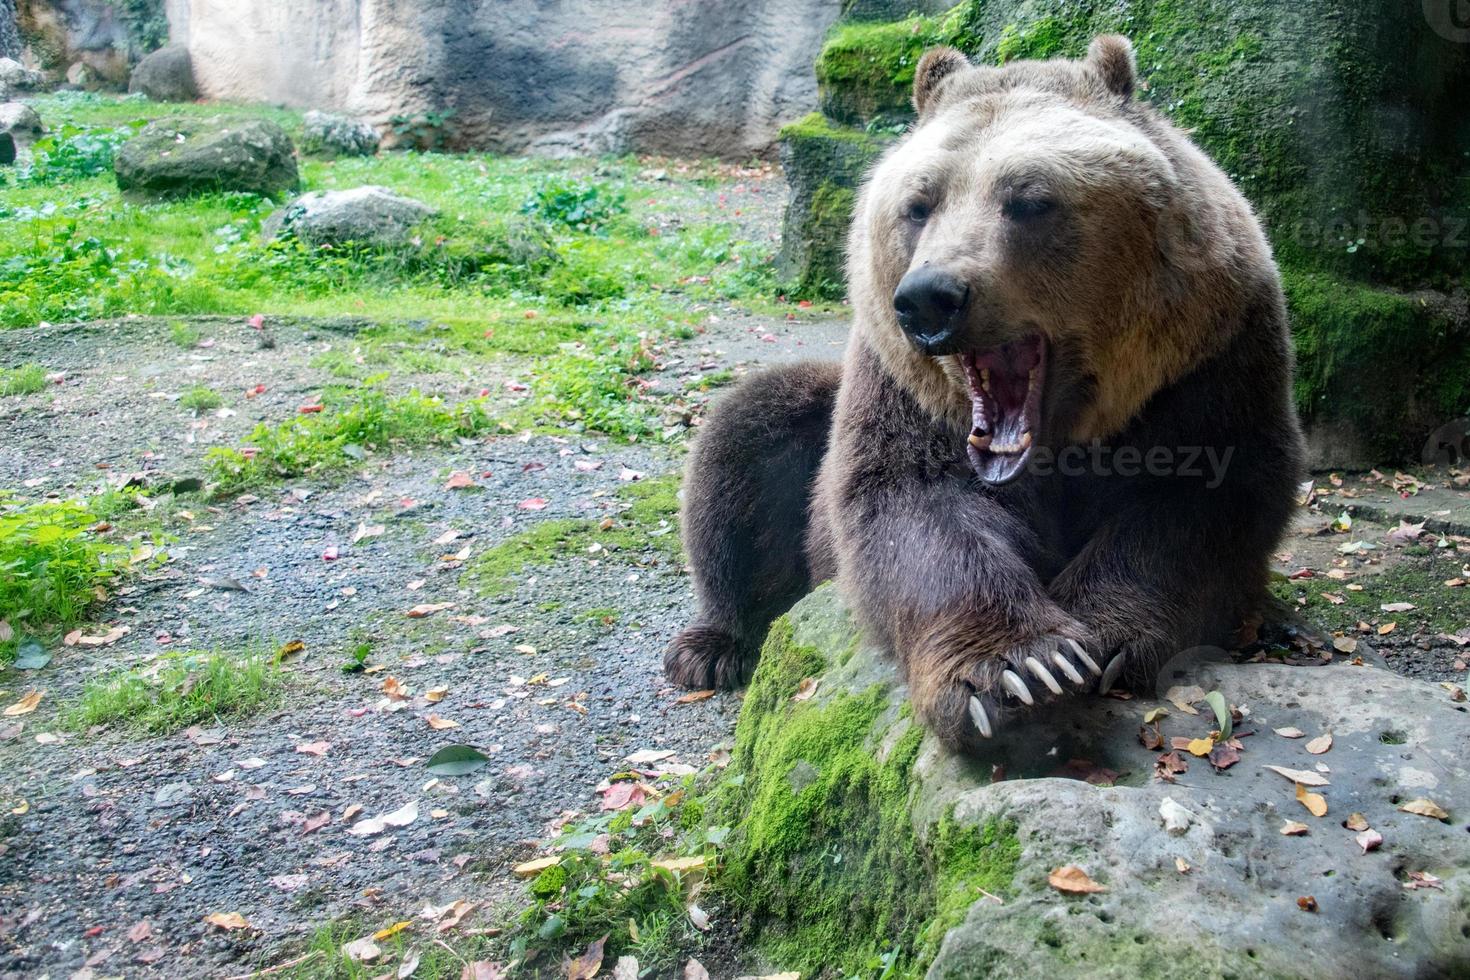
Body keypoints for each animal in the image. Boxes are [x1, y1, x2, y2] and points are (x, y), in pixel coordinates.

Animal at [664, 32, 1299, 752]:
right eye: (918, 205)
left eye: (1028, 199)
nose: (928, 298)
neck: (1065, 431)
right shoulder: (902, 391)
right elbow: (913, 506)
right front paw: (1023, 669)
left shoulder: (1211, 360)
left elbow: (1199, 500)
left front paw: (1104, 636)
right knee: (745, 442)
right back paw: (712, 646)